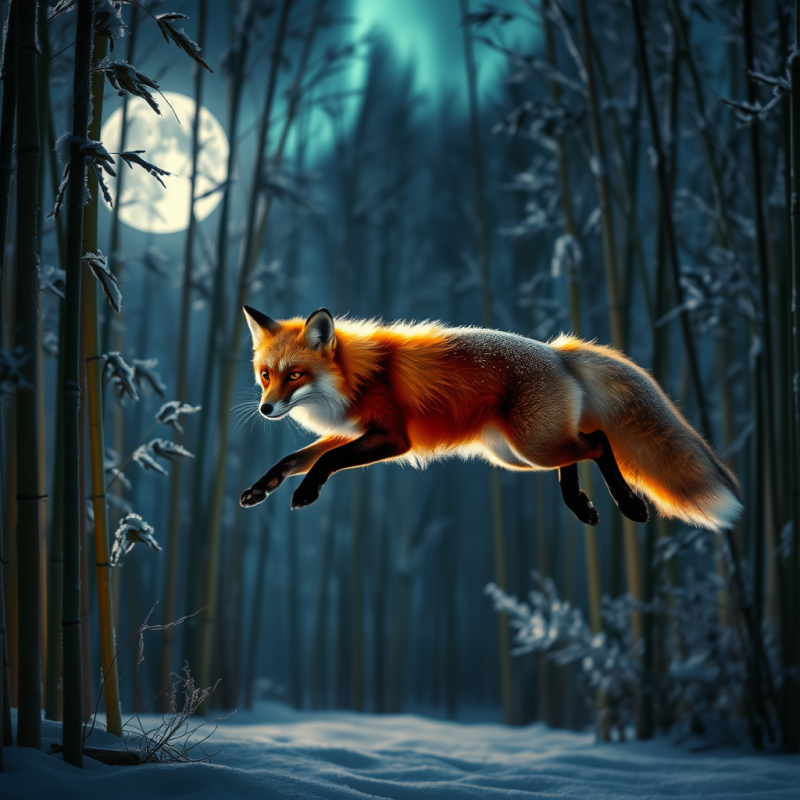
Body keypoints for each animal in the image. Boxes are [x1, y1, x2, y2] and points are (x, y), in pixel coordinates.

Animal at [239, 305, 742, 533]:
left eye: (295, 375)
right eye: (265, 375)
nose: (265, 408)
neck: (357, 376)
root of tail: (558, 352)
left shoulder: (393, 437)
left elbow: (324, 463)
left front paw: (306, 493)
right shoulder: (354, 432)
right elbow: (292, 459)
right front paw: (260, 489)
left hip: (530, 446)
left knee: (599, 440)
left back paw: (630, 505)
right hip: (518, 454)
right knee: (578, 449)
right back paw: (580, 505)